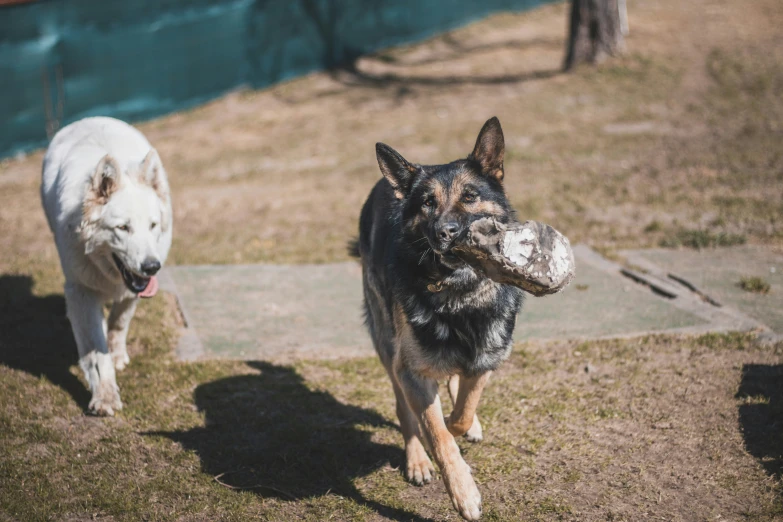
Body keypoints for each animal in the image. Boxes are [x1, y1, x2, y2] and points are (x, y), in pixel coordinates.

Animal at [42, 117, 172, 414]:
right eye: (123, 228)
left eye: (152, 225)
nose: (152, 267)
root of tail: (88, 119)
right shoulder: (81, 291)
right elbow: (94, 352)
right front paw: (104, 396)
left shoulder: (132, 291)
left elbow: (119, 321)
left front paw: (117, 353)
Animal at [352, 116, 524, 516]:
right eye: (428, 203)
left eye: (470, 196)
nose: (446, 233)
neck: (460, 293)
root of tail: (386, 184)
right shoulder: (411, 371)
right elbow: (438, 433)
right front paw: (463, 491)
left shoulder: (485, 359)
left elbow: (460, 415)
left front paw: (462, 420)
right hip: (388, 347)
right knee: (404, 410)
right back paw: (417, 460)